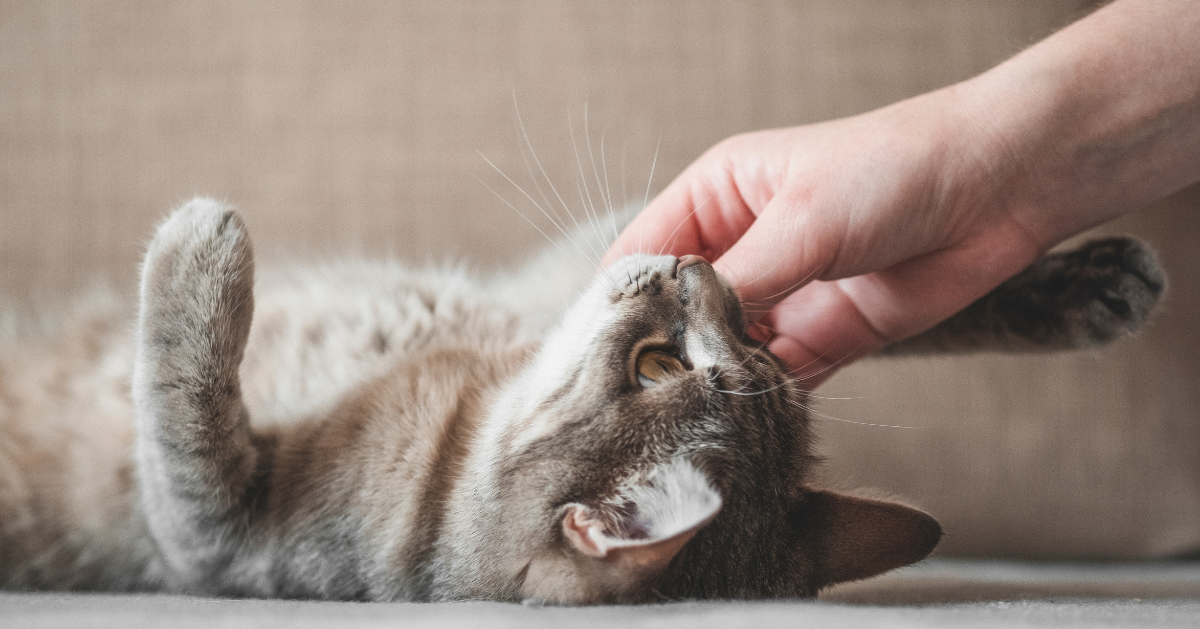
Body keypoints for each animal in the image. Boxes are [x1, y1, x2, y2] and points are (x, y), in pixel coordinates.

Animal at [0, 199, 1161, 602]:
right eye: (659, 363)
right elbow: (889, 291)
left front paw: (201, 247)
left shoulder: (208, 537)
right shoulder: (550, 275)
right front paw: (1079, 285)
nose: (697, 265)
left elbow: (180, 407)